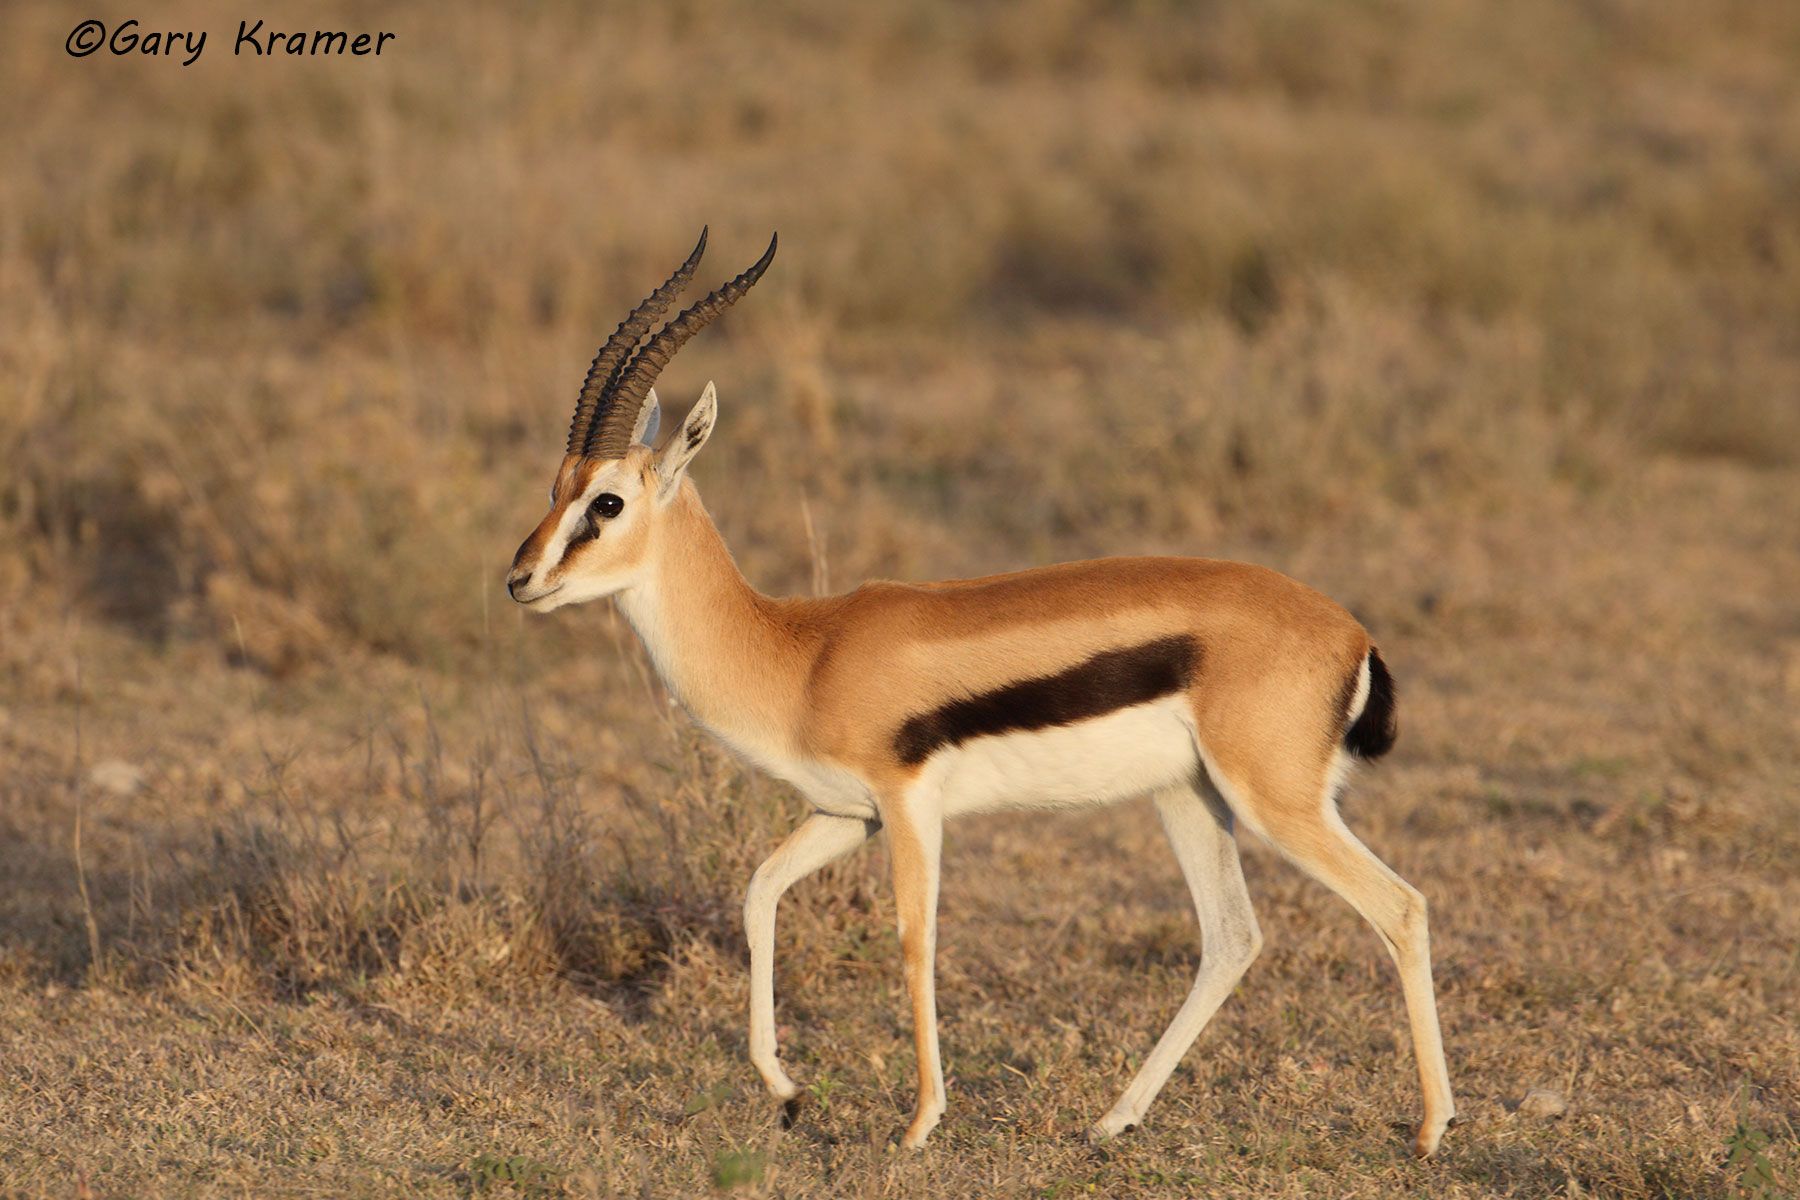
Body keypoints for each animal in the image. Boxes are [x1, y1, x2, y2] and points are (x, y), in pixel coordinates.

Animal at [506, 230, 1456, 1157]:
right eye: (554, 487)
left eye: (607, 503)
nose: (520, 580)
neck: (803, 653)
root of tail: (1353, 634)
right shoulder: (845, 813)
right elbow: (759, 892)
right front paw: (785, 1090)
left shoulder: (907, 804)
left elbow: (913, 940)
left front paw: (920, 1123)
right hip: (1188, 796)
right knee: (1232, 937)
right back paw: (1113, 1120)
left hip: (1275, 803)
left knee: (1401, 907)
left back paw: (1429, 1129)